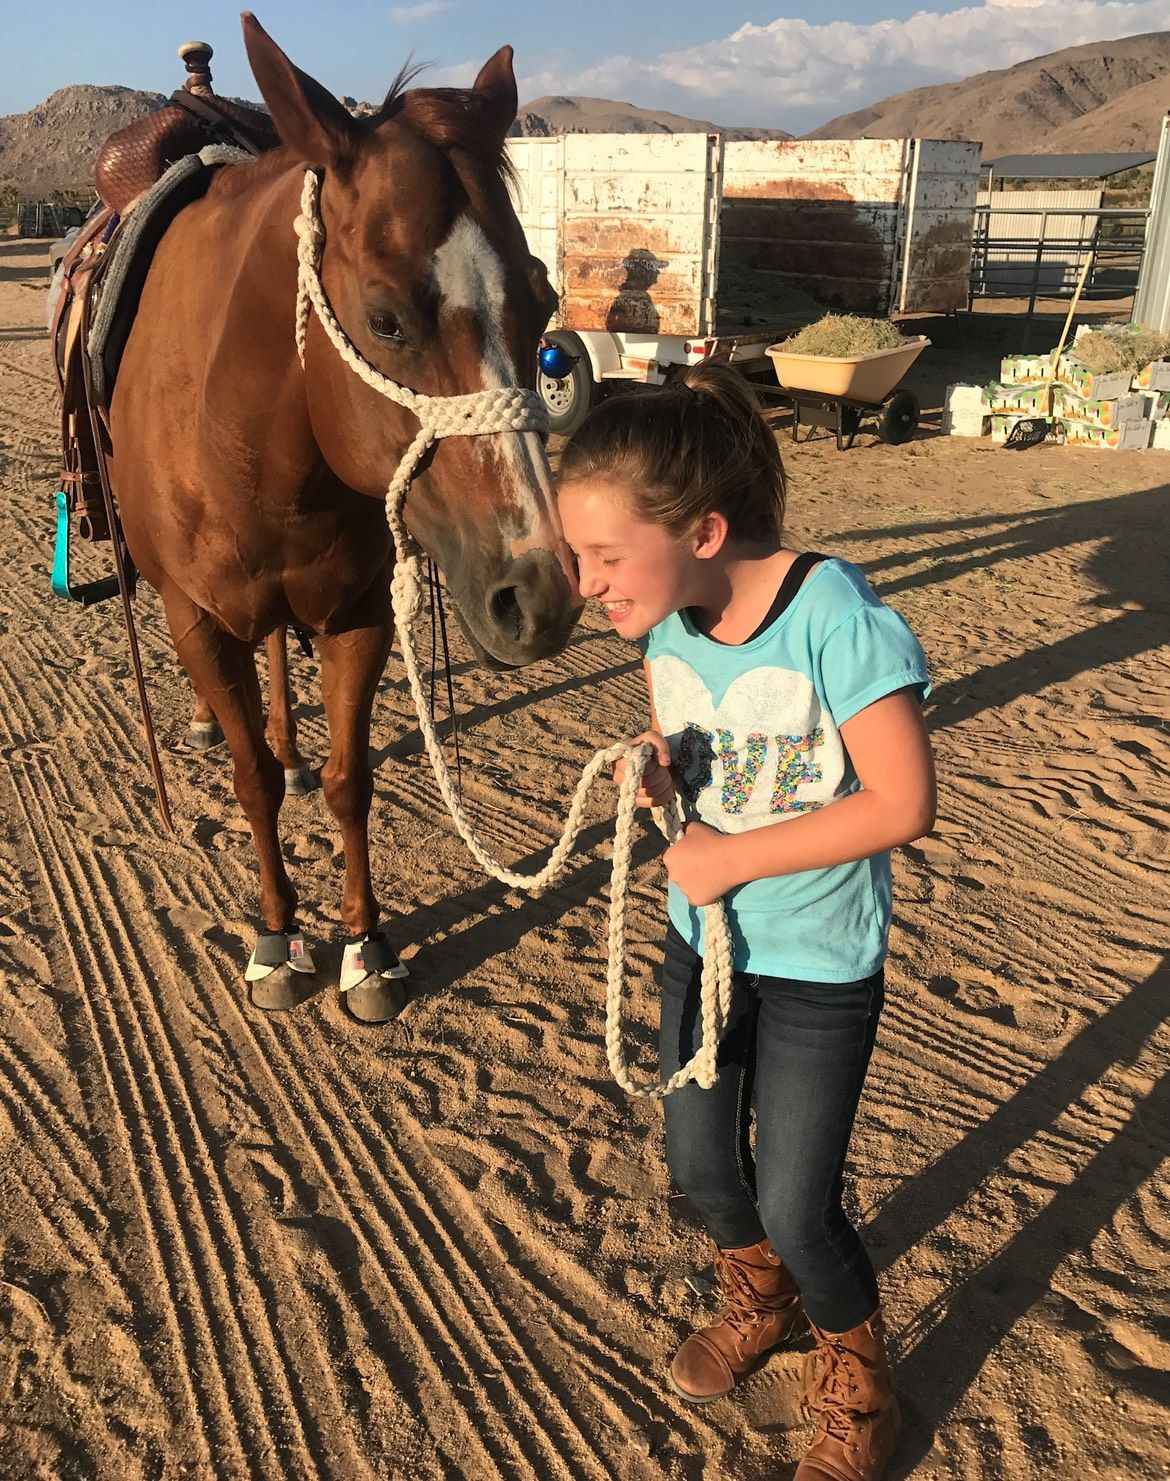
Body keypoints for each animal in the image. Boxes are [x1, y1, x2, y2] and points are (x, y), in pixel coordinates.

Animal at [105, 14, 579, 1022]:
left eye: (543, 300)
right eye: (387, 318)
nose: (541, 595)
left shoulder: (355, 614)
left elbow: (348, 780)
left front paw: (367, 947)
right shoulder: (199, 620)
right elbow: (250, 786)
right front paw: (278, 937)